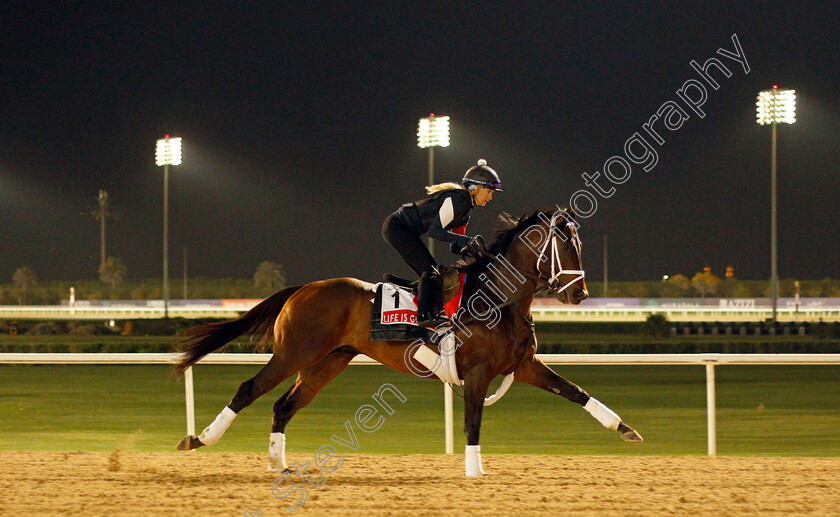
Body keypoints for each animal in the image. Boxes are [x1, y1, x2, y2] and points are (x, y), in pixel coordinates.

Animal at [172, 208, 644, 474]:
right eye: (565, 246)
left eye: (580, 245)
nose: (580, 294)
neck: (497, 298)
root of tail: (303, 287)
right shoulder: (476, 373)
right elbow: (473, 422)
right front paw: (475, 471)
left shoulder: (523, 366)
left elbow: (576, 391)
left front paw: (624, 428)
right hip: (294, 353)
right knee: (248, 389)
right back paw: (199, 439)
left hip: (328, 362)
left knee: (283, 406)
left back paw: (278, 464)